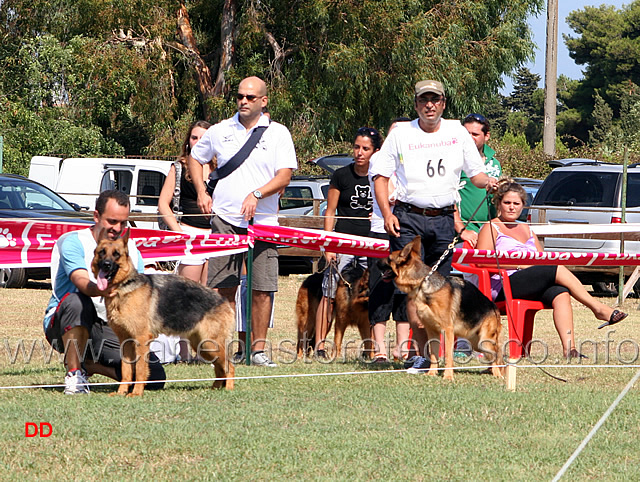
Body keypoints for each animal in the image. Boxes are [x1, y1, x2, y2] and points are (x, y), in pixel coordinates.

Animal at [92, 230, 235, 396]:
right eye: (102, 252)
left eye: (116, 254)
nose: (106, 265)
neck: (123, 286)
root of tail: (223, 300)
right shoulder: (125, 342)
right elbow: (126, 370)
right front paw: (122, 392)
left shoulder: (141, 339)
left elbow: (139, 369)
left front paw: (136, 393)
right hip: (203, 346)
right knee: (220, 368)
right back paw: (215, 388)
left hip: (211, 344)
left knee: (229, 366)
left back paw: (229, 389)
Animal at [382, 237, 502, 380]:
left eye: (389, 258)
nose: (376, 262)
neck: (422, 283)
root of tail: (494, 307)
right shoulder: (432, 331)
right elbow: (433, 355)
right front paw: (432, 373)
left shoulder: (447, 330)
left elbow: (448, 355)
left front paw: (448, 376)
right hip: (476, 342)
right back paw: (491, 371)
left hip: (484, 341)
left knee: (495, 356)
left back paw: (498, 374)